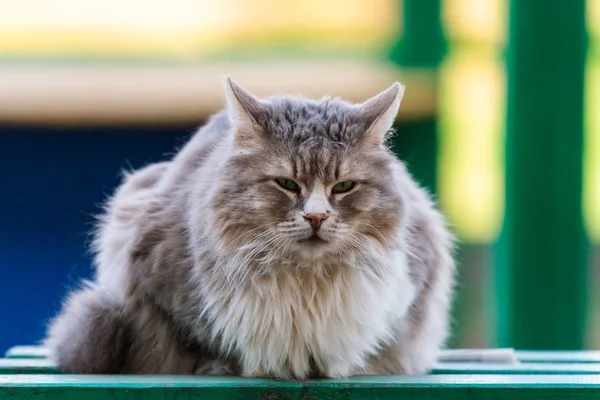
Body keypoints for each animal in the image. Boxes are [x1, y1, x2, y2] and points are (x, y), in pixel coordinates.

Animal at [44, 77, 454, 378]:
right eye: (286, 184)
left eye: (343, 187)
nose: (316, 217)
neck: (307, 284)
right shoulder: (154, 273)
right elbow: (205, 341)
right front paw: (236, 367)